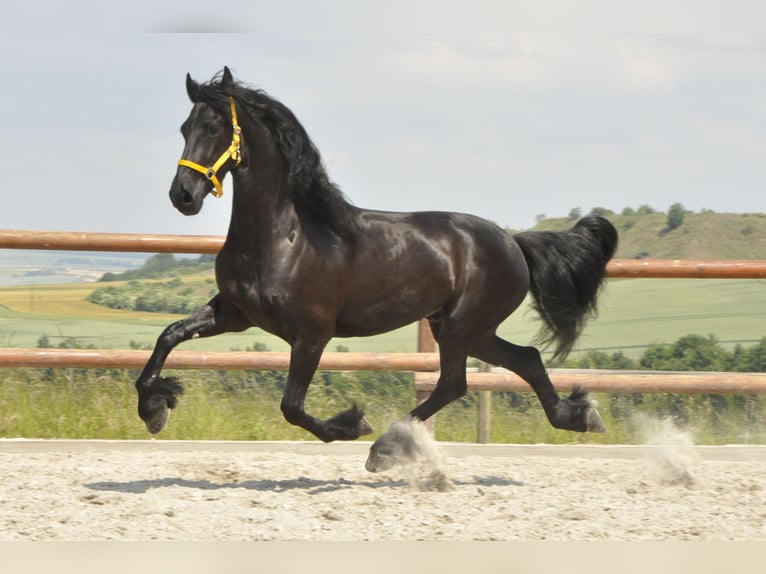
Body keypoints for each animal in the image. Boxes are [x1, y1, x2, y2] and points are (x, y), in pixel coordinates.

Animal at [135, 67, 620, 472]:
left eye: (212, 127)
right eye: (184, 128)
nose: (183, 195)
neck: (283, 237)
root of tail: (514, 243)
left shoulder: (312, 334)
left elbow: (292, 407)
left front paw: (351, 424)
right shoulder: (235, 314)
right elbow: (169, 336)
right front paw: (154, 408)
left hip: (463, 326)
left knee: (454, 383)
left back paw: (383, 449)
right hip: (464, 328)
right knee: (524, 360)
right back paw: (580, 415)